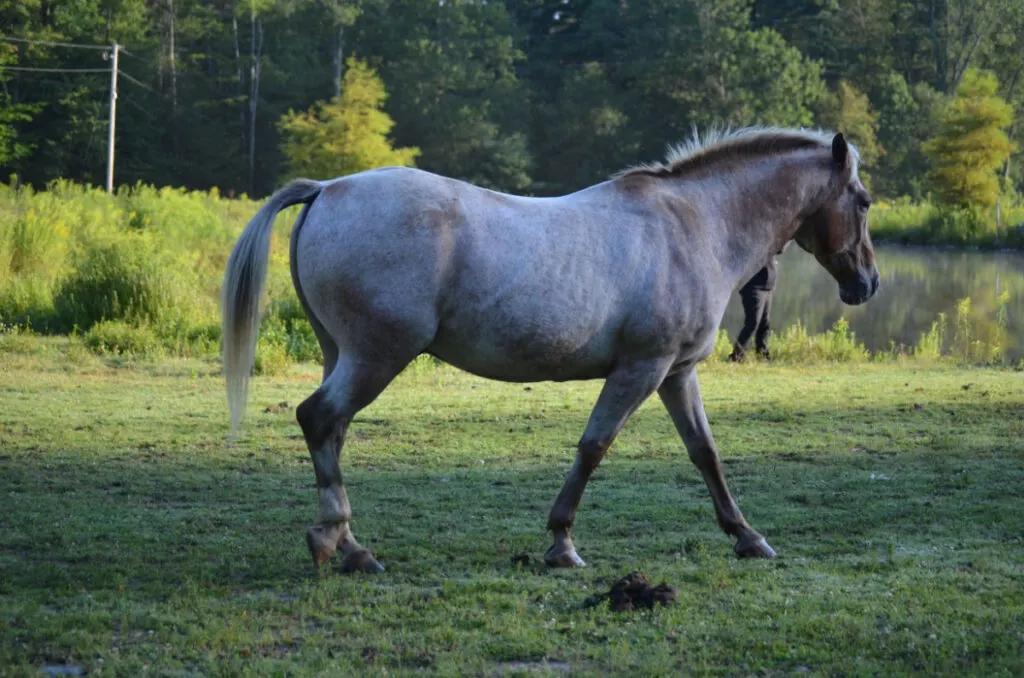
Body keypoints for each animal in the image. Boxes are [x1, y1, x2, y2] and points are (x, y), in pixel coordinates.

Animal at [222, 125, 880, 573]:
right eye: (865, 201)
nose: (868, 283)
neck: (695, 225)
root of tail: (328, 188)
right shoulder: (641, 370)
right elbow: (593, 448)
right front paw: (562, 543)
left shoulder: (676, 374)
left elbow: (705, 454)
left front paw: (747, 536)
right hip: (375, 358)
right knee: (319, 418)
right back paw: (339, 542)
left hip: (344, 355)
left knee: (330, 430)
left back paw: (349, 544)